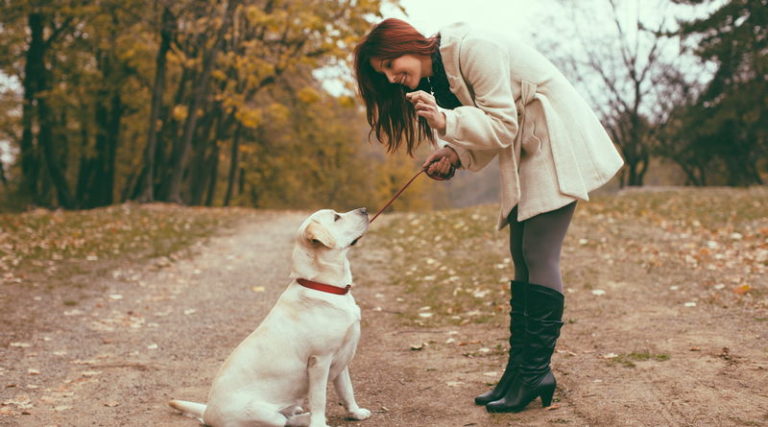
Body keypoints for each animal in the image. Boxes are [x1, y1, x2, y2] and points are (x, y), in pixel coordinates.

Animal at [169, 208, 372, 427]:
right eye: (336, 217)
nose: (364, 210)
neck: (323, 286)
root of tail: (207, 412)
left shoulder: (343, 358)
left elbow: (347, 390)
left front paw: (356, 412)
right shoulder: (320, 361)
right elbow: (319, 398)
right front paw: (318, 423)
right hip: (264, 414)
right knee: (284, 421)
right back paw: (305, 418)